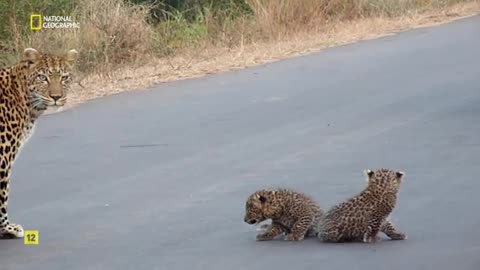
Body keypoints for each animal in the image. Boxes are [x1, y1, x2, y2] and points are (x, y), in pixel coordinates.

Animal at [0, 47, 78, 237]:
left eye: (64, 77)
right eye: (43, 77)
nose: (56, 97)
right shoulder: (3, 156)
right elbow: (3, 194)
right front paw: (7, 229)